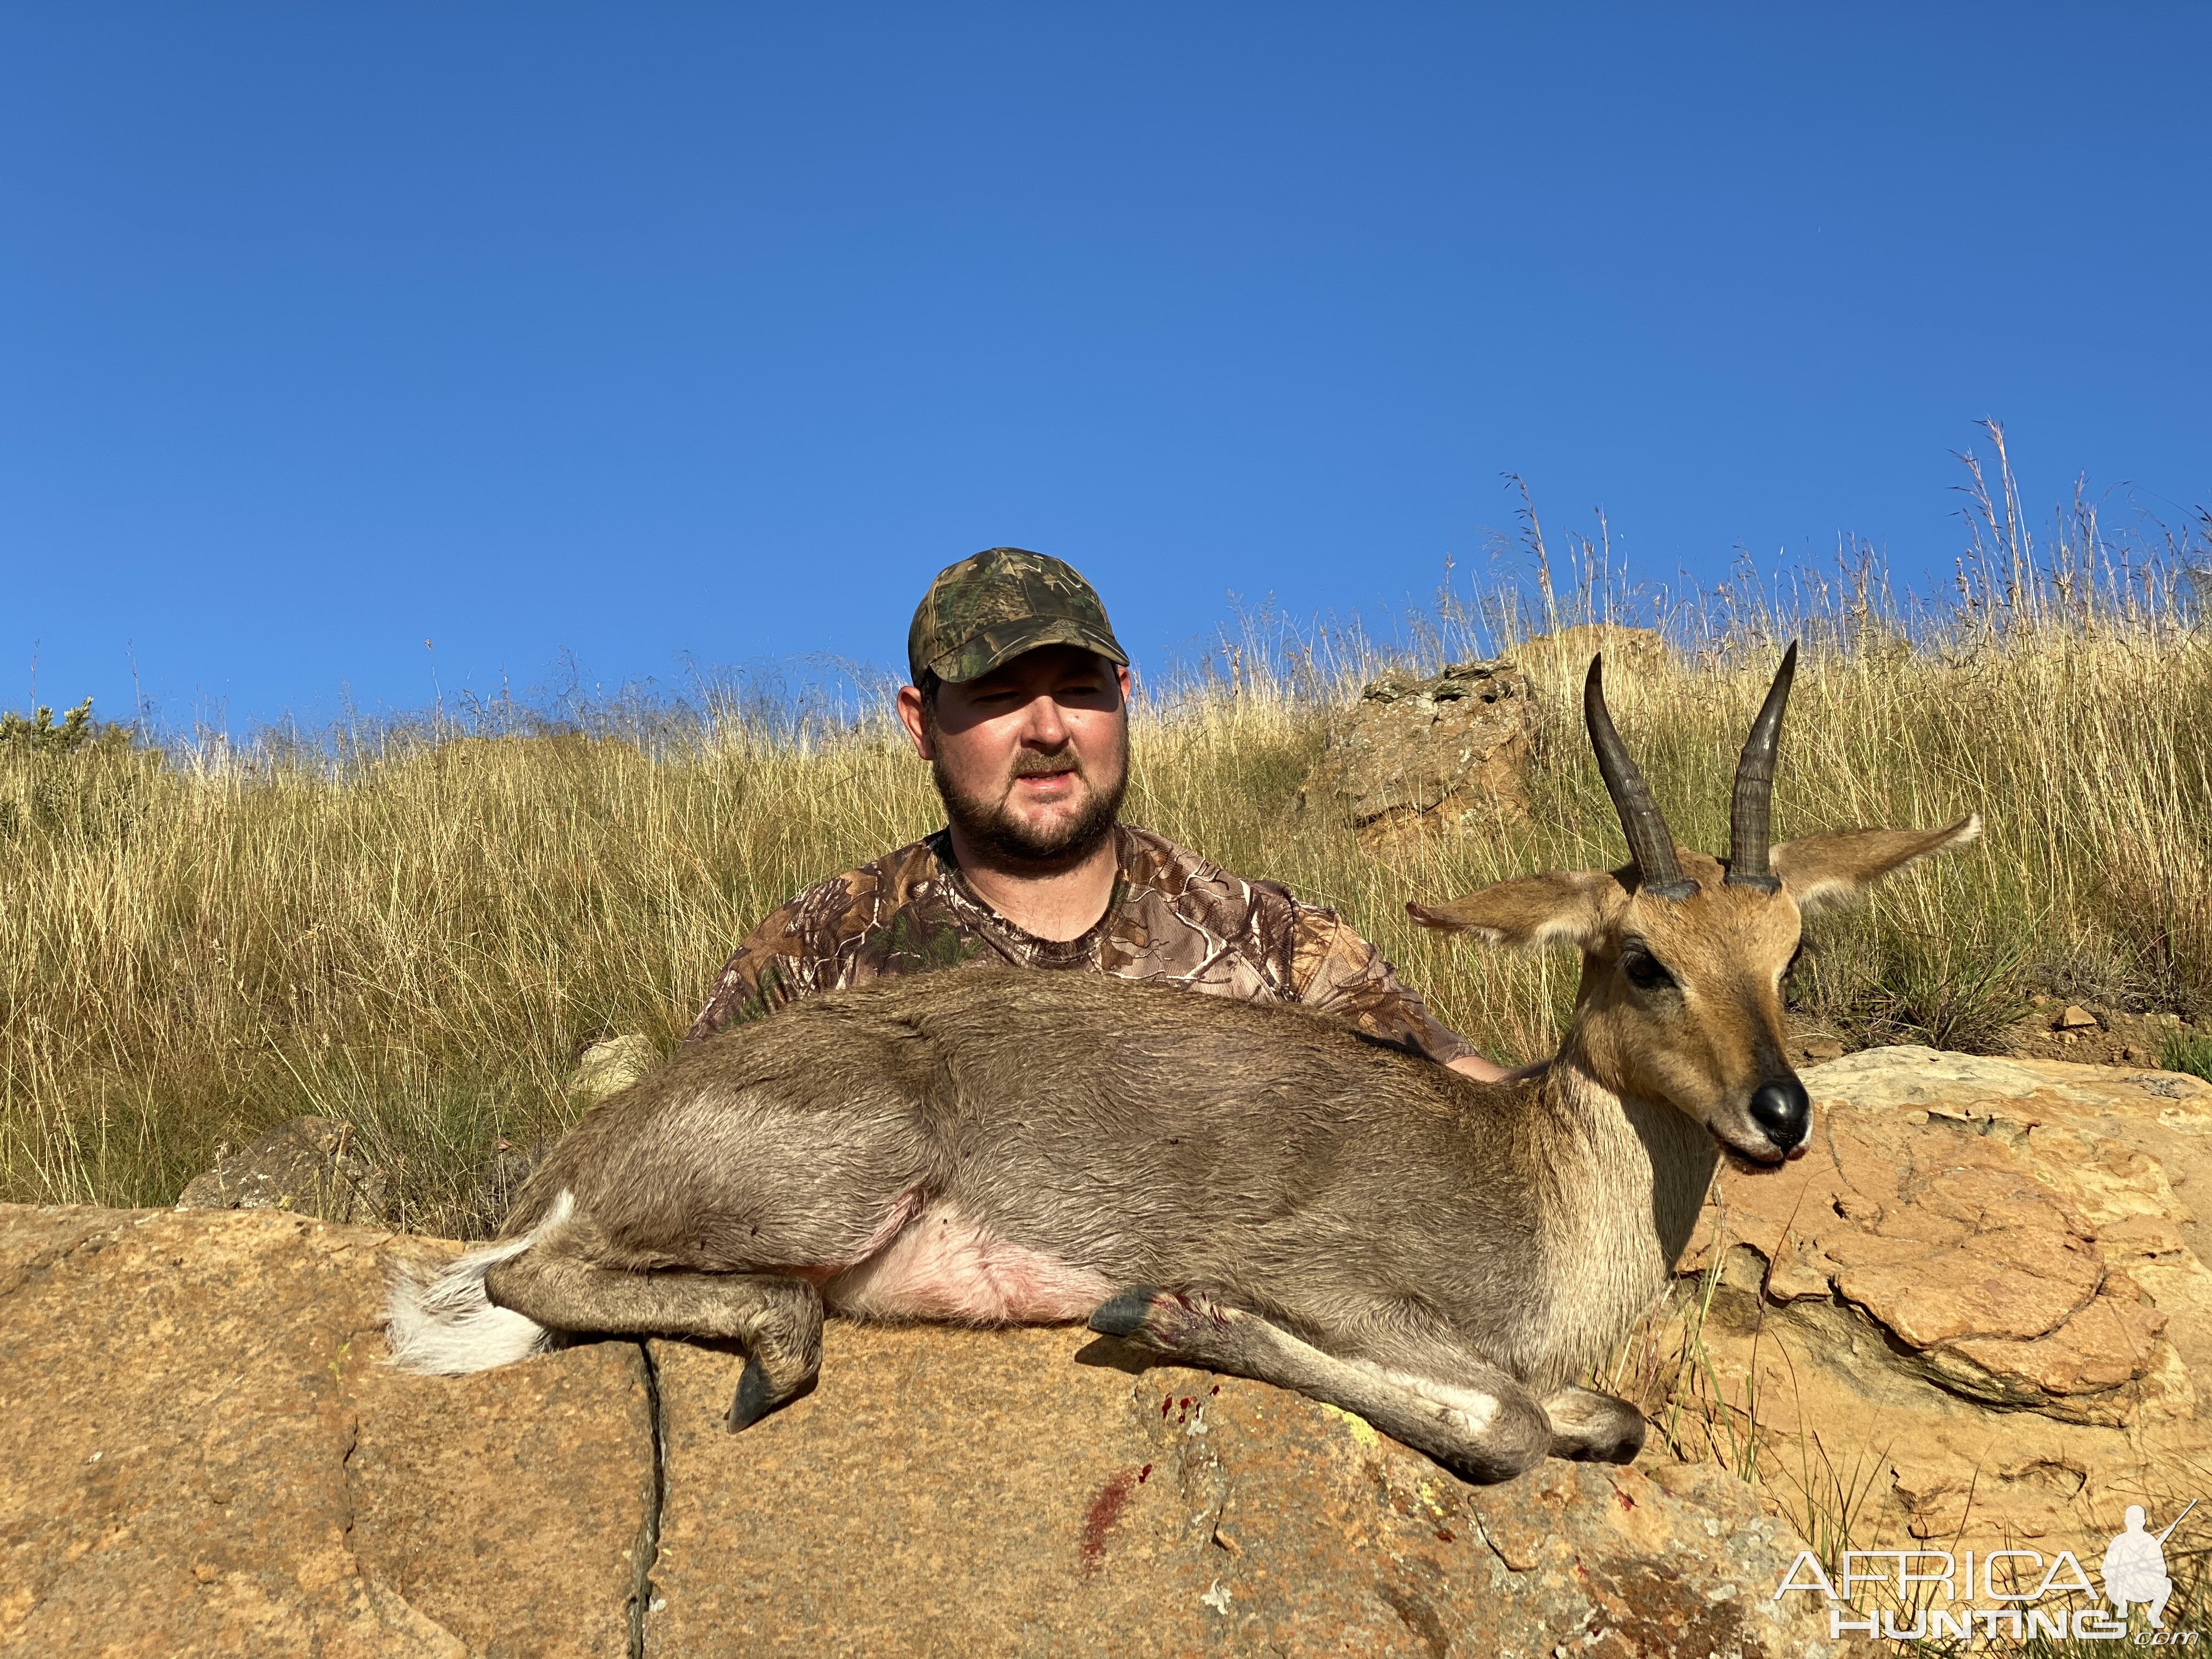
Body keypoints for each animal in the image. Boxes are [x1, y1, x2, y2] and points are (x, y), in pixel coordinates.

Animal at [389, 641, 1982, 1486]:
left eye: (1788, 950)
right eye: (1644, 958)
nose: (1781, 1114)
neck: (1537, 1185)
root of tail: (585, 1146)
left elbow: (1606, 1421)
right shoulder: (1317, 1269)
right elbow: (1516, 1425)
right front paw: (1168, 1314)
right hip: (839, 1185)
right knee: (543, 1281)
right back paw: (776, 1351)